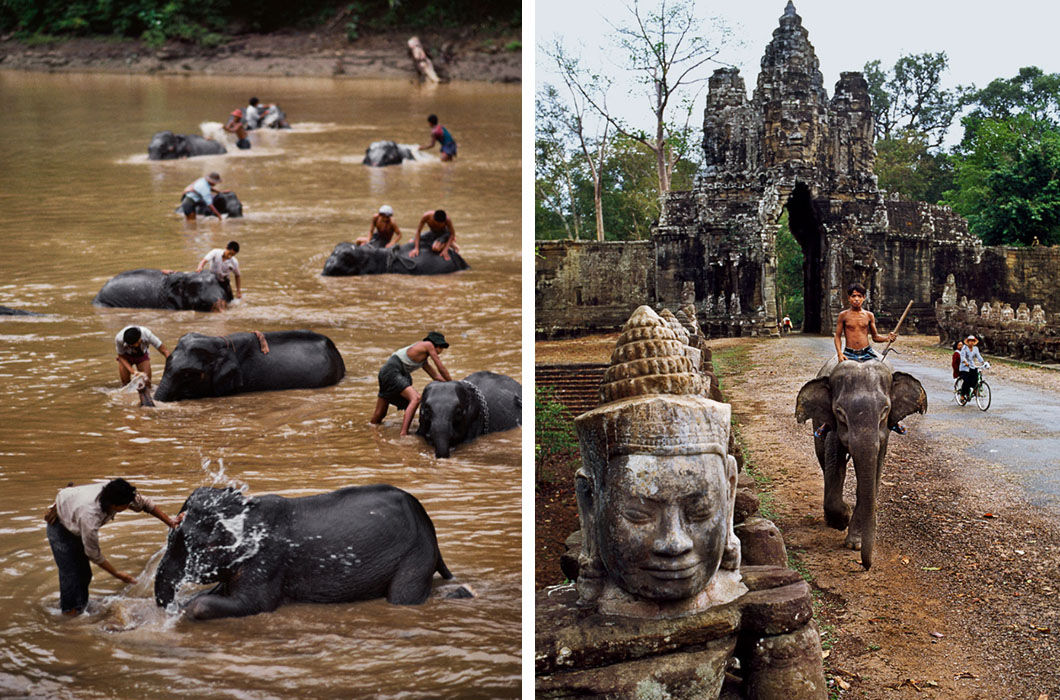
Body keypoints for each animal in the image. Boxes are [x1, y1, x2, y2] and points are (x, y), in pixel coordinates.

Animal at [154, 483, 453, 619]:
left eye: (187, 543)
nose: (167, 605)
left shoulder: (266, 560)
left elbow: (257, 604)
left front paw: (184, 612)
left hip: (416, 554)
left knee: (403, 598)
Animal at [797, 358, 928, 572]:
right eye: (840, 413)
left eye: (885, 410)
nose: (866, 566)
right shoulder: (833, 425)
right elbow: (835, 461)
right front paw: (842, 519)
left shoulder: (885, 434)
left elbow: (874, 470)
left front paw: (855, 543)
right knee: (823, 460)